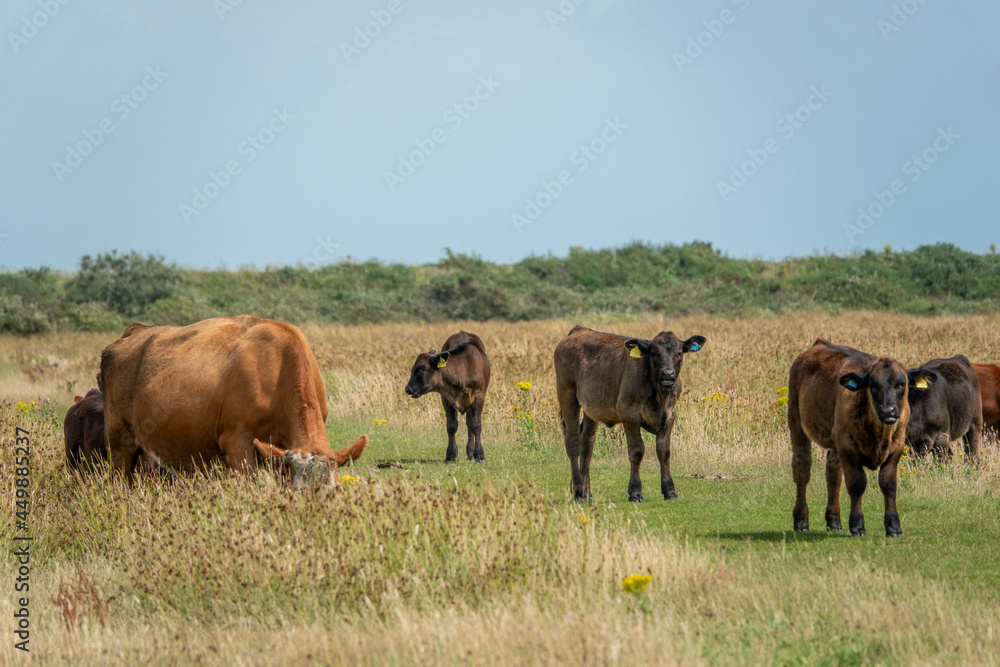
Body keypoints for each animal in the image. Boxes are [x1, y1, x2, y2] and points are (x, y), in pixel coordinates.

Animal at [402, 330, 488, 464]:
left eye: (420, 371)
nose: (408, 389)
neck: (463, 369)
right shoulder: (446, 399)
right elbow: (452, 426)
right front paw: (451, 456)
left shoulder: (478, 398)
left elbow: (476, 425)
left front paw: (480, 455)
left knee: (470, 424)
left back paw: (471, 453)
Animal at [552, 326, 708, 504]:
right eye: (654, 353)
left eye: (679, 353)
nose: (667, 374)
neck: (659, 395)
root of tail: (579, 330)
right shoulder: (629, 414)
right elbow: (637, 451)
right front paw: (635, 491)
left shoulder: (670, 415)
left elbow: (664, 452)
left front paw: (670, 490)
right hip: (567, 396)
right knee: (573, 443)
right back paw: (578, 490)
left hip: (590, 409)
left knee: (586, 445)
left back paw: (586, 493)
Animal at [788, 340, 936, 536]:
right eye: (873, 384)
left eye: (901, 383)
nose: (888, 410)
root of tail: (819, 344)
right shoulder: (848, 447)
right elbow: (857, 484)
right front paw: (857, 526)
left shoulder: (896, 446)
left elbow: (888, 484)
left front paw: (893, 527)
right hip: (796, 423)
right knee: (802, 470)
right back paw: (801, 521)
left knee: (833, 475)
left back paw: (834, 522)